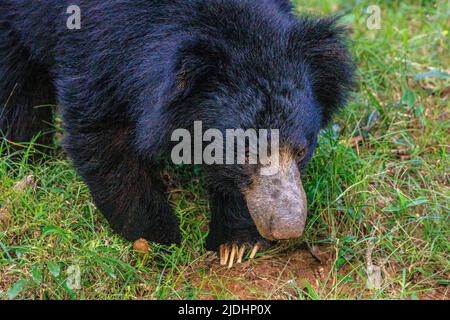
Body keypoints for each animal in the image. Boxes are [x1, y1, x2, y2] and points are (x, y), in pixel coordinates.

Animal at [0, 0, 356, 264]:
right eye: (245, 151)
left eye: (301, 150)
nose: (287, 227)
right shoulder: (99, 53)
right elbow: (104, 138)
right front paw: (158, 240)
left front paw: (235, 245)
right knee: (17, 88)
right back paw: (25, 157)